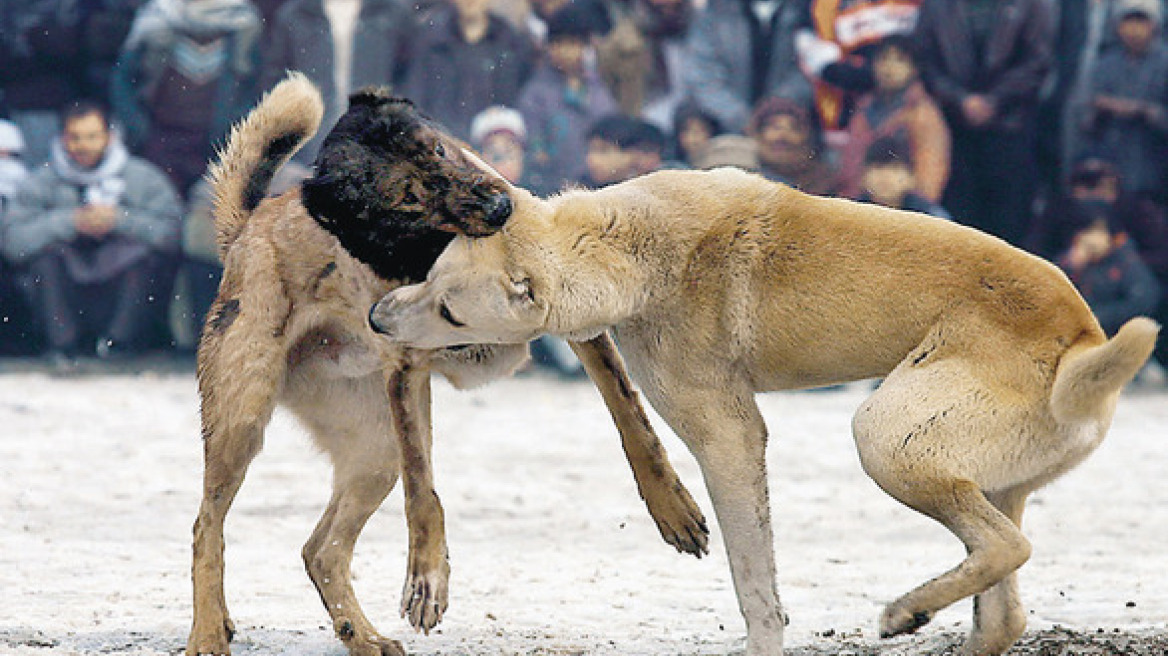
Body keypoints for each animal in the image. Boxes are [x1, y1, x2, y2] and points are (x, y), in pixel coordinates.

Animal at [186, 72, 705, 653]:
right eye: (408, 196)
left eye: (436, 148)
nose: (500, 206)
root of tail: (247, 229)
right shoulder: (406, 370)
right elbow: (423, 489)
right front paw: (426, 578)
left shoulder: (579, 320)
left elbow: (631, 418)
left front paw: (672, 505)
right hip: (244, 418)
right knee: (207, 528)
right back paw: (208, 631)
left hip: (372, 449)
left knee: (320, 550)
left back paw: (363, 636)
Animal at [364, 166, 1158, 653]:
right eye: (431, 274)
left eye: (451, 311)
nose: (376, 318)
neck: (632, 248)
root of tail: (1082, 342)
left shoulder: (728, 435)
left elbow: (753, 575)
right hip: (994, 470)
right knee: (1005, 604)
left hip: (887, 437)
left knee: (1006, 547)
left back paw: (905, 611)